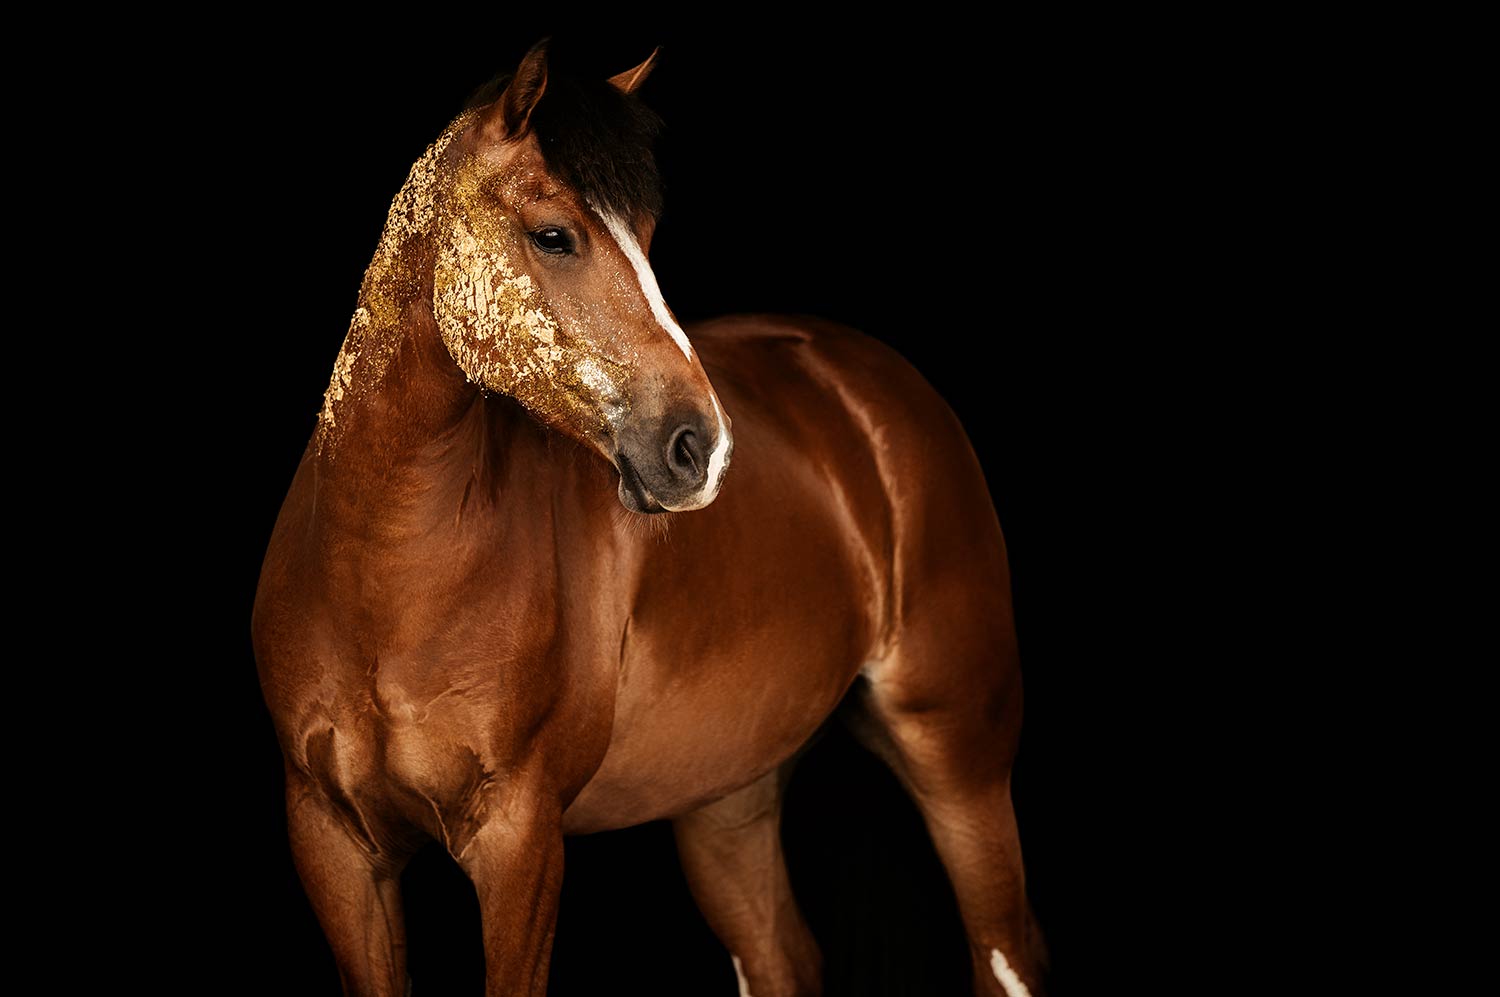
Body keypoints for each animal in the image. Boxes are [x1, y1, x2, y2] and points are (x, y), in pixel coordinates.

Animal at [252, 41, 1046, 997]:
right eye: (554, 234)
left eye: (650, 236)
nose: (701, 446)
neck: (381, 574)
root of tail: (871, 383)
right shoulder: (333, 844)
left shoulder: (520, 840)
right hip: (727, 796)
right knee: (783, 957)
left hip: (959, 754)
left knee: (1006, 948)